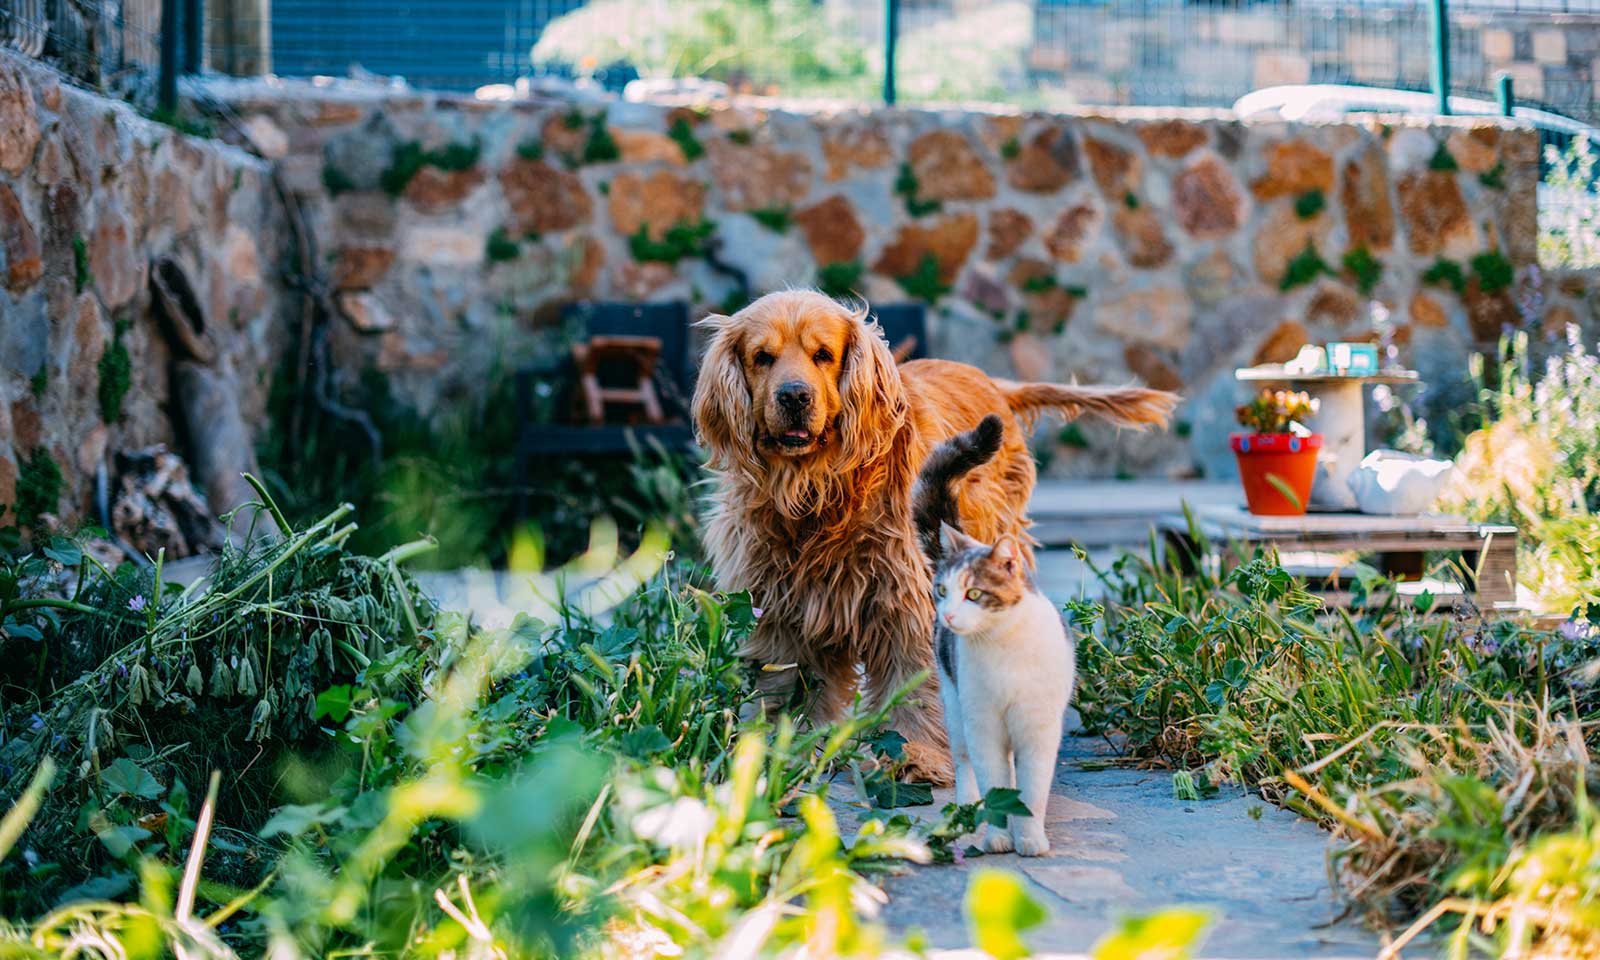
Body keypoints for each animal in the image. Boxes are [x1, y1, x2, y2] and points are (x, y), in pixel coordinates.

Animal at [694, 288, 1184, 784]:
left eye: (823, 355)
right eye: (762, 357)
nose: (794, 395)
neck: (817, 492)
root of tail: (993, 382)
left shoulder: (908, 595)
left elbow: (914, 680)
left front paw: (914, 753)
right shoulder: (778, 603)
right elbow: (784, 684)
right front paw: (778, 751)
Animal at [915, 416, 1075, 857]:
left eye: (974, 593)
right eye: (942, 590)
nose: (948, 614)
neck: (1002, 651)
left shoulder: (1037, 729)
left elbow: (1031, 790)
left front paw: (1031, 838)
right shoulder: (983, 724)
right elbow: (995, 783)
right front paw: (998, 838)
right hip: (955, 709)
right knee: (965, 762)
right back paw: (967, 809)